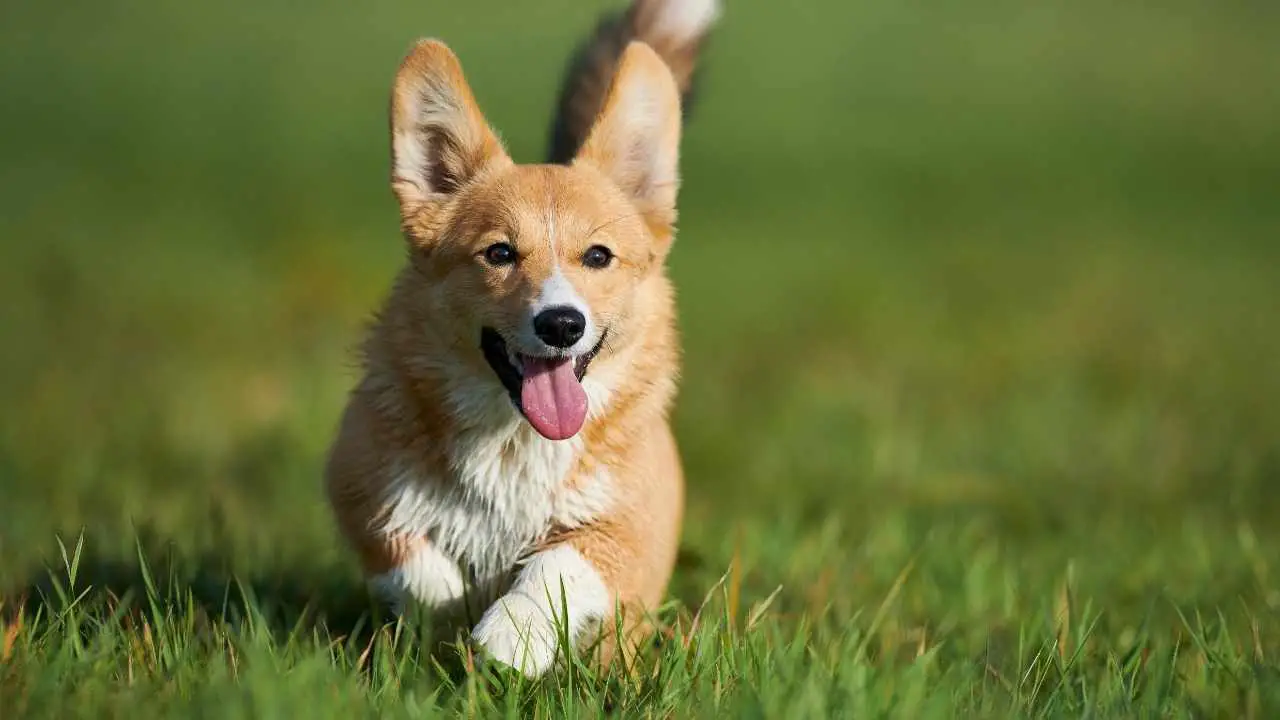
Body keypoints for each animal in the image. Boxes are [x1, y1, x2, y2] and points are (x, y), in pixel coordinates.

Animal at [320, 0, 721, 671]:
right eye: (500, 253)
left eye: (598, 256)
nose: (561, 324)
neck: (513, 441)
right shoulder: (362, 490)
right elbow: (417, 567)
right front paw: (450, 622)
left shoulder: (628, 532)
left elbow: (557, 564)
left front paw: (512, 635)